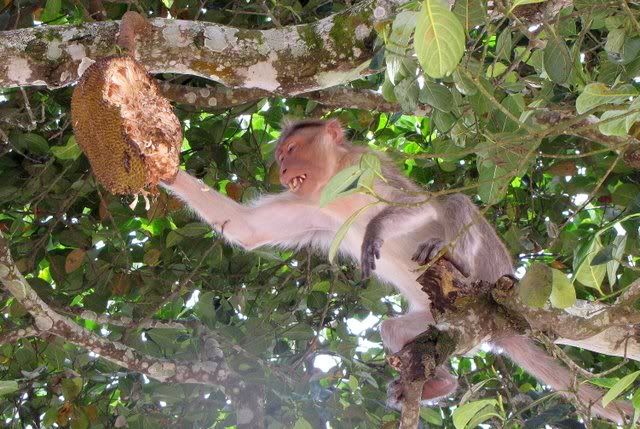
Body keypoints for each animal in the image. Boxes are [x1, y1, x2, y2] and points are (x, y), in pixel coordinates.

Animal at [160, 117, 632, 422]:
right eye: (280, 157)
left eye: (291, 150)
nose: (282, 169)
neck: (334, 184)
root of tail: (498, 318)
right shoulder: (309, 206)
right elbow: (246, 228)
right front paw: (160, 165)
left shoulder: (367, 165)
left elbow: (419, 203)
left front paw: (377, 229)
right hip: (441, 317)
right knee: (401, 330)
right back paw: (437, 381)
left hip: (493, 272)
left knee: (454, 202)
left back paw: (455, 259)